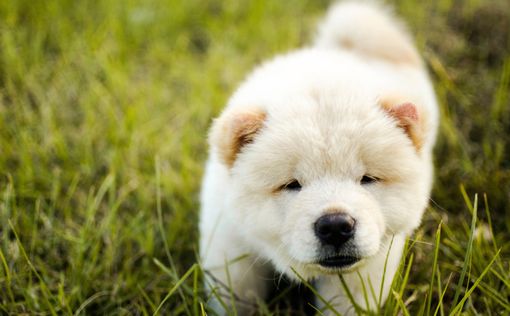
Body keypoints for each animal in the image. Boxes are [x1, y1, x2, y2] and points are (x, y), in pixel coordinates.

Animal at [199, 1, 438, 314]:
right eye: (291, 185)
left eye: (367, 179)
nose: (335, 225)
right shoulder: (230, 243)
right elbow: (235, 293)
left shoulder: (367, 269)